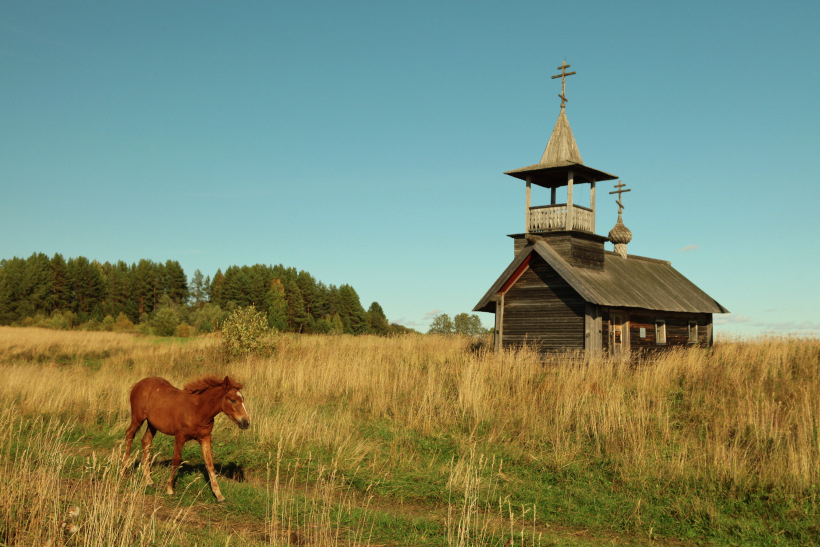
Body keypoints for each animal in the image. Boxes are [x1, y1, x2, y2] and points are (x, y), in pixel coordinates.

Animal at [122, 376, 250, 500]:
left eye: (243, 399)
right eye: (233, 400)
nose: (246, 423)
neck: (198, 410)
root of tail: (138, 383)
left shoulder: (205, 437)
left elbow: (209, 464)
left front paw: (219, 495)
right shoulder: (180, 436)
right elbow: (176, 460)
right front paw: (169, 488)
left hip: (152, 424)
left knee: (146, 441)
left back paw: (148, 480)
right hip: (138, 418)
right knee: (129, 435)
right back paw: (124, 471)